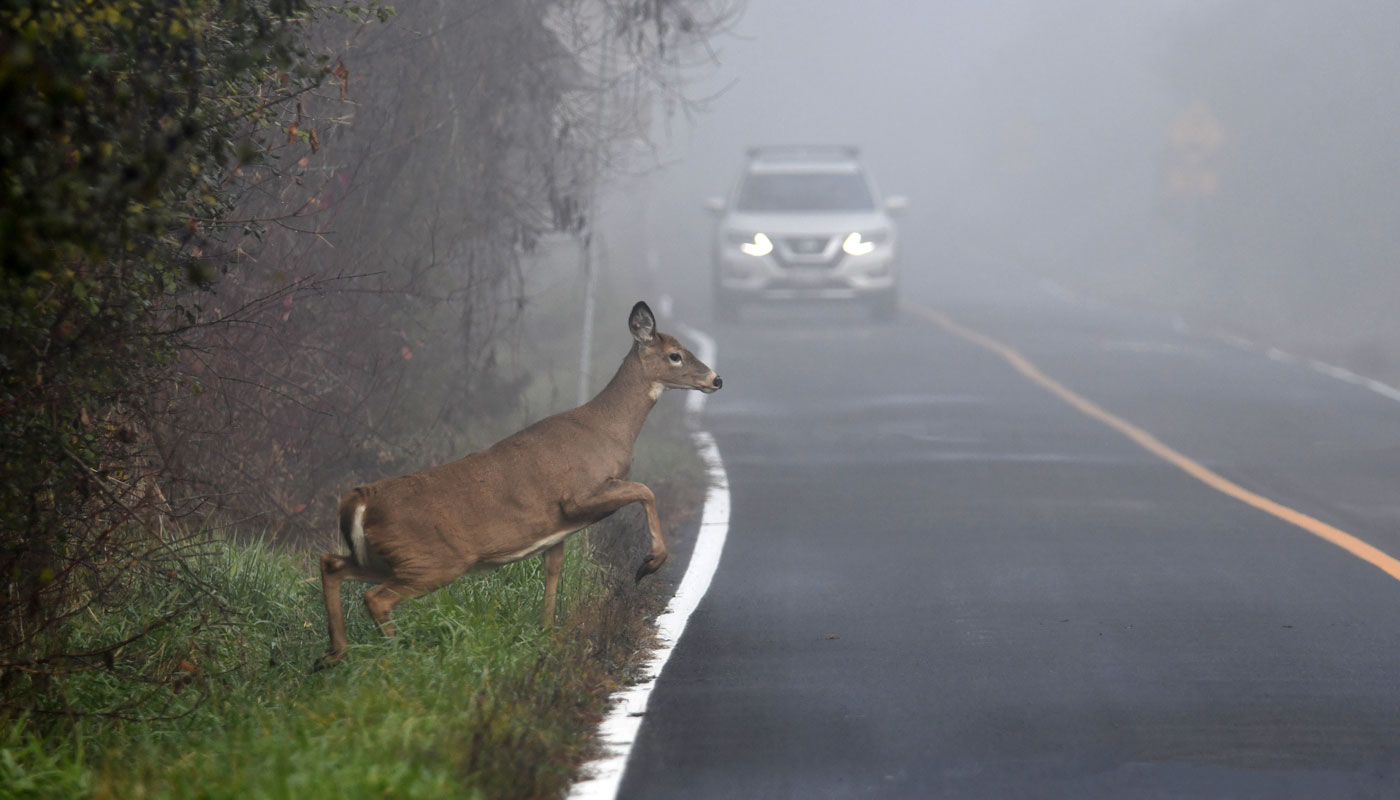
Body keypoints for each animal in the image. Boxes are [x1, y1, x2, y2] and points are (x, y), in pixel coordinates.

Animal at [316, 304, 722, 666]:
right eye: (675, 355)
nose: (716, 379)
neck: (608, 429)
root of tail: (360, 501)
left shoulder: (558, 530)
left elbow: (553, 575)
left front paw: (547, 637)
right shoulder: (577, 496)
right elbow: (645, 490)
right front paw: (649, 563)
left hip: (387, 557)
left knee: (332, 564)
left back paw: (334, 655)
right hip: (433, 560)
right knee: (376, 598)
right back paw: (396, 656)